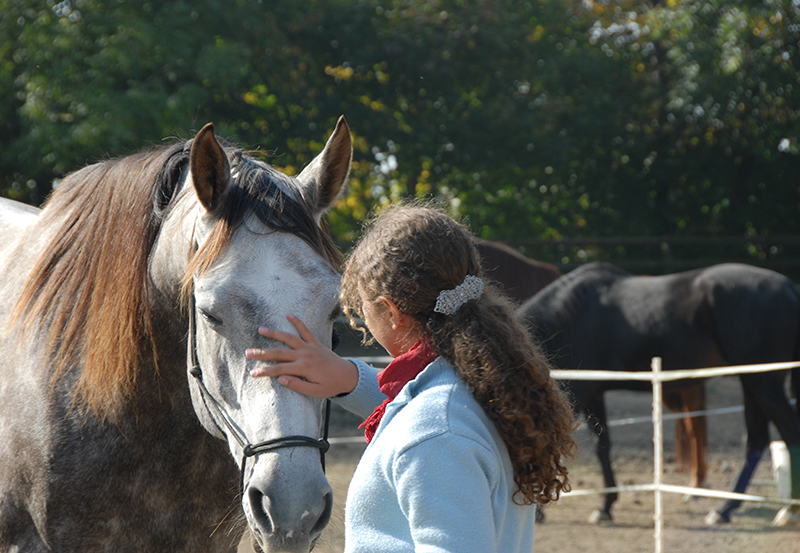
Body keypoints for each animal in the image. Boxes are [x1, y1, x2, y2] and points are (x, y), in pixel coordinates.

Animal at [518, 261, 800, 525]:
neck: (569, 313)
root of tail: (789, 286)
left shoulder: (579, 392)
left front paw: (540, 510)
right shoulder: (594, 393)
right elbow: (603, 446)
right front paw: (606, 506)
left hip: (764, 382)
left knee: (787, 432)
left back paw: (786, 510)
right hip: (751, 381)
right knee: (756, 440)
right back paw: (725, 509)